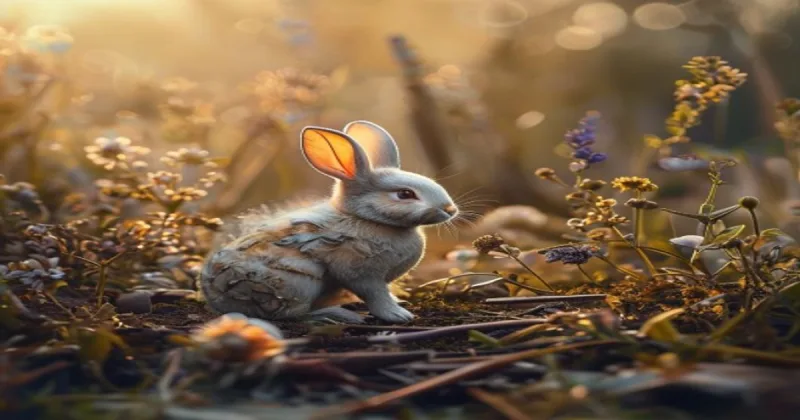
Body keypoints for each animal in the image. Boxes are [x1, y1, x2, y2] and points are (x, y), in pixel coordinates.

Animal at [200, 120, 459, 324]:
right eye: (405, 194)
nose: (450, 210)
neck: (364, 218)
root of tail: (219, 301)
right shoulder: (362, 274)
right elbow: (376, 296)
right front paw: (398, 315)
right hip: (299, 284)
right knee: (292, 315)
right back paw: (339, 315)